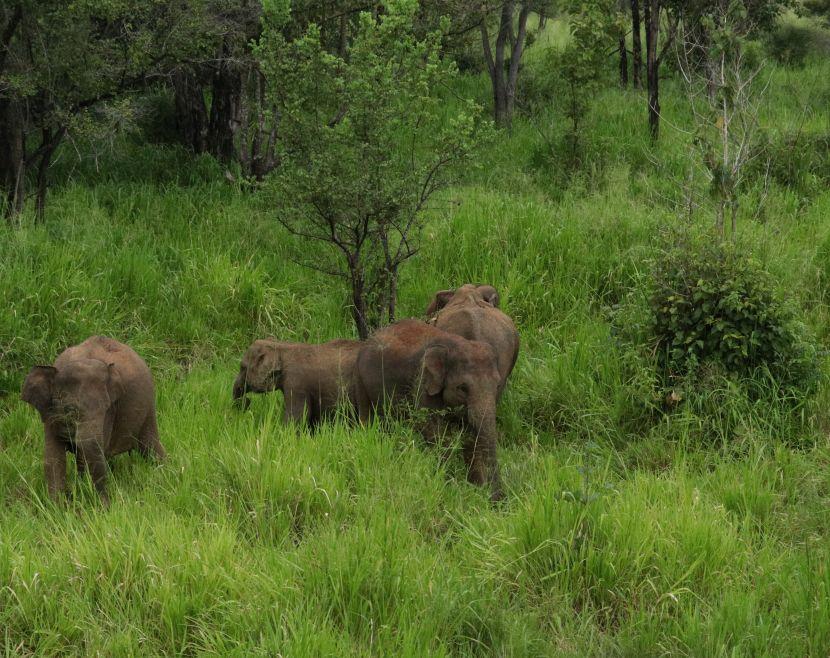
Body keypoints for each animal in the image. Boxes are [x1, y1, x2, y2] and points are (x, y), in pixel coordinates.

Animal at [21, 334, 167, 502]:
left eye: (106, 409)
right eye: (70, 410)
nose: (108, 504)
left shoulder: (111, 415)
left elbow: (90, 454)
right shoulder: (50, 412)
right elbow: (53, 458)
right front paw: (58, 505)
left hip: (148, 404)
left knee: (149, 444)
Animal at [354, 318, 504, 498]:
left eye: (497, 385)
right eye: (462, 388)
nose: (500, 499)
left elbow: (471, 435)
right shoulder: (423, 382)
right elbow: (434, 430)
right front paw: (449, 484)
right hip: (361, 379)